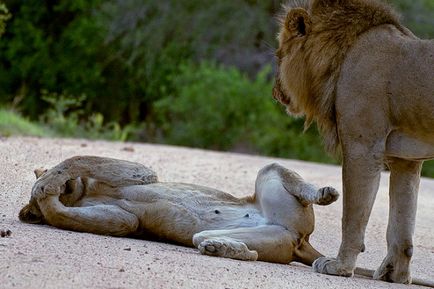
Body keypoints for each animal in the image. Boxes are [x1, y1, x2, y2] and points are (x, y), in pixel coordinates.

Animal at [19, 155, 340, 266]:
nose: (66, 187)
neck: (83, 193)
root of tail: (301, 239)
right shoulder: (123, 220)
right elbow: (61, 213)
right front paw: (43, 199)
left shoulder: (141, 172)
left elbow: (79, 158)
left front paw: (46, 183)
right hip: (267, 238)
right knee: (252, 254)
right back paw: (220, 247)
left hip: (269, 171)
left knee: (299, 185)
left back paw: (326, 193)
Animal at [274, 0, 434, 284]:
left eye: (278, 54)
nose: (275, 92)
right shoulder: (405, 160)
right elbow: (401, 224)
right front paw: (394, 276)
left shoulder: (363, 148)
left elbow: (352, 215)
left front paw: (339, 266)